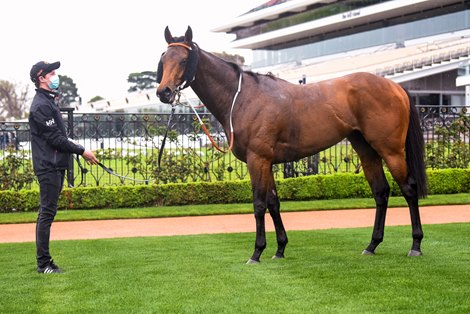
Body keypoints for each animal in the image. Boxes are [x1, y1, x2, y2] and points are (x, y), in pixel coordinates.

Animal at [156, 26, 428, 262]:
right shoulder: (267, 162)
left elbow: (259, 204)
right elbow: (273, 203)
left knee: (409, 189)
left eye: (184, 60)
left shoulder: (258, 159)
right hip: (366, 150)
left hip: (391, 150)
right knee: (381, 192)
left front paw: (256, 252)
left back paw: (415, 245)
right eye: (164, 59)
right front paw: (279, 249)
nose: (164, 92)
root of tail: (396, 86)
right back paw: (372, 245)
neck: (243, 98)